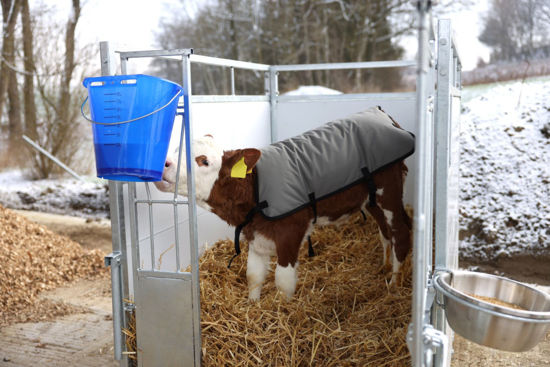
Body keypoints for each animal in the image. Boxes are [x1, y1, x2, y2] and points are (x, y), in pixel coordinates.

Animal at [153, 136, 412, 302]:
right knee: (385, 233)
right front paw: (253, 306)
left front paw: (282, 310)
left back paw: (394, 285)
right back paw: (384, 268)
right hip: (372, 200)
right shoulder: (255, 234)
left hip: (388, 192)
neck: (256, 188)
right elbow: (254, 275)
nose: (163, 163)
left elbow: (283, 280)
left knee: (400, 232)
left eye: (204, 161)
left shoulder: (291, 230)